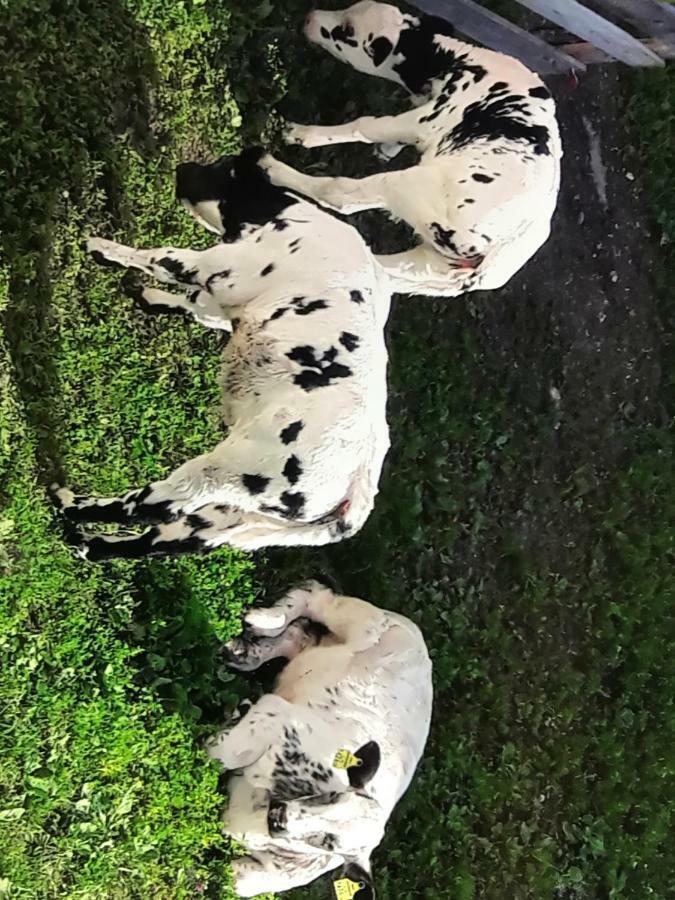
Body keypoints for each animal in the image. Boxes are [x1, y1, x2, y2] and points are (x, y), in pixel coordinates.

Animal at [51, 149, 390, 560]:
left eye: (222, 166)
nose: (183, 167)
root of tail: (356, 494)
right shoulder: (230, 295)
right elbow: (197, 306)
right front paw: (147, 296)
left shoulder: (218, 267)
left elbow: (161, 259)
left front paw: (99, 247)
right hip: (233, 520)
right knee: (158, 542)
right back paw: (87, 544)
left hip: (225, 476)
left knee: (151, 506)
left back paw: (70, 502)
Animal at [206, 580, 436, 896]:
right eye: (334, 796)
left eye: (329, 843)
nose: (280, 816)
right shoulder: (276, 713)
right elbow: (224, 752)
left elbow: (239, 882)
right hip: (361, 620)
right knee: (315, 597)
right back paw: (261, 620)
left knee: (298, 635)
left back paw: (243, 654)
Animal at [262, 1, 564, 300]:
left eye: (347, 31)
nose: (310, 17)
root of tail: (501, 252)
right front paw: (386, 150)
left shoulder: (431, 118)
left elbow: (368, 126)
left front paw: (299, 134)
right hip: (429, 264)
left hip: (407, 186)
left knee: (339, 193)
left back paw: (272, 167)